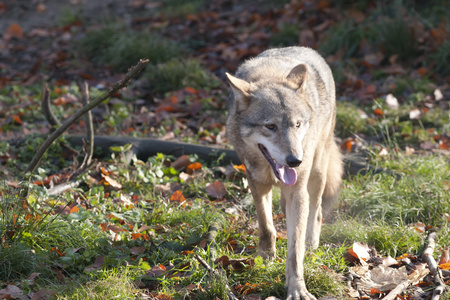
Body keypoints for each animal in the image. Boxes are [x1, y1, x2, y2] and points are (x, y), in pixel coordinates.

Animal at [227, 45, 342, 298]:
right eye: (271, 126)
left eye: (297, 124)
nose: (295, 161)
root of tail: (307, 50)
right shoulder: (256, 183)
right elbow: (266, 226)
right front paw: (266, 258)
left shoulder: (297, 192)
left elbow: (295, 249)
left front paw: (297, 287)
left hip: (317, 171)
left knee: (316, 211)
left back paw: (311, 244)